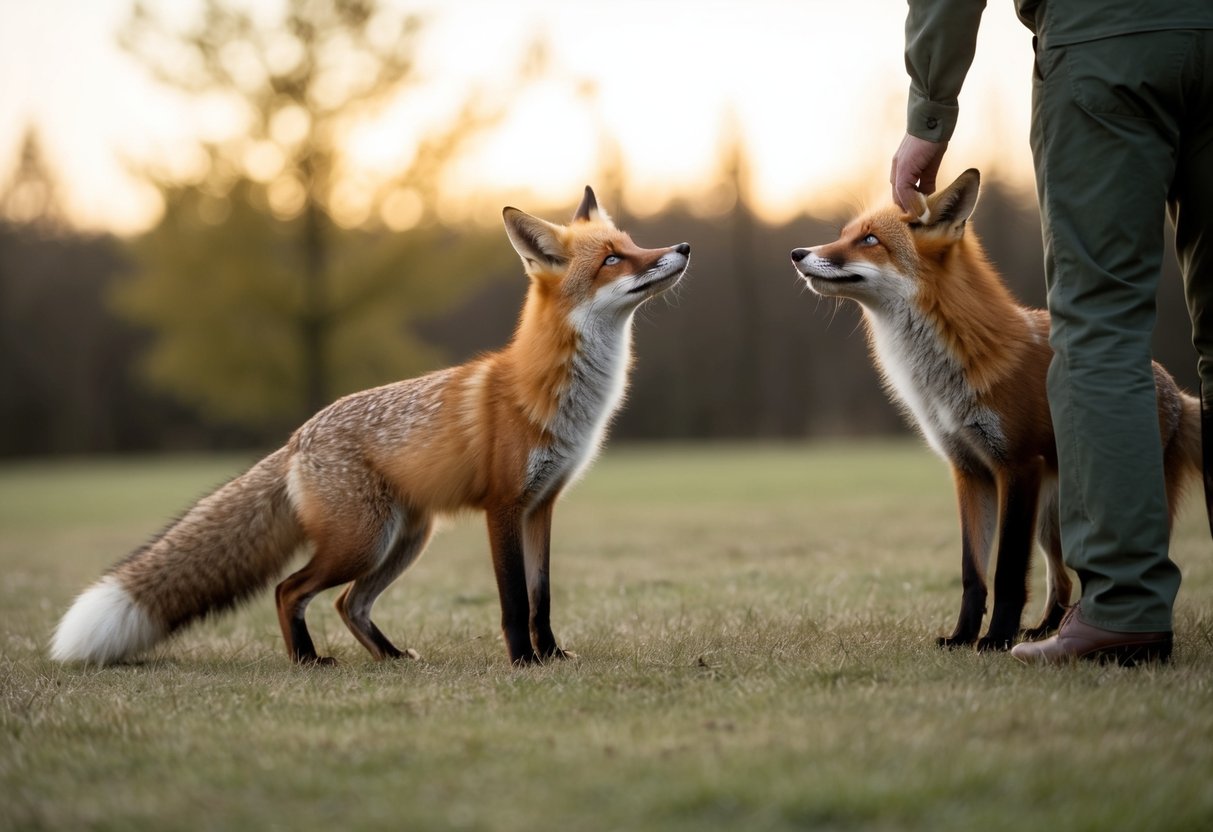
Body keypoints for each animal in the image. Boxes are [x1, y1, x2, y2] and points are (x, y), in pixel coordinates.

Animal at [51, 187, 690, 667]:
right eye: (612, 260)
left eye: (633, 245)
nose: (683, 246)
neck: (559, 394)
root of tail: (297, 438)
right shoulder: (504, 506)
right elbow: (513, 600)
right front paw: (522, 662)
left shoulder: (543, 506)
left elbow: (542, 598)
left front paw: (552, 656)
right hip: (362, 543)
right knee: (289, 590)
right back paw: (307, 661)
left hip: (402, 541)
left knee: (346, 605)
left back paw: (389, 657)